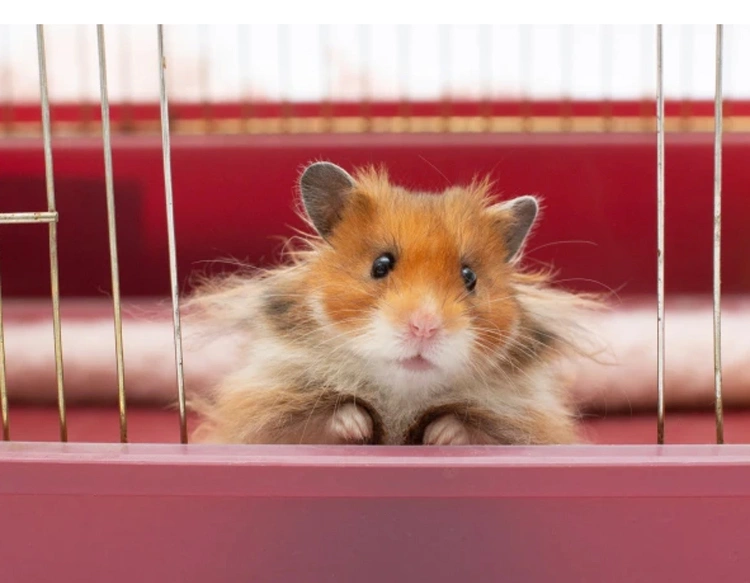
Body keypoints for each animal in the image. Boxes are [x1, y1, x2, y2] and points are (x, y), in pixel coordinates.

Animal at [186, 161, 601, 446]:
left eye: (470, 277)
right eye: (380, 265)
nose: (424, 326)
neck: (402, 396)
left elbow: (468, 429)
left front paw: (441, 436)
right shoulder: (267, 413)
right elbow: (324, 420)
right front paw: (354, 424)